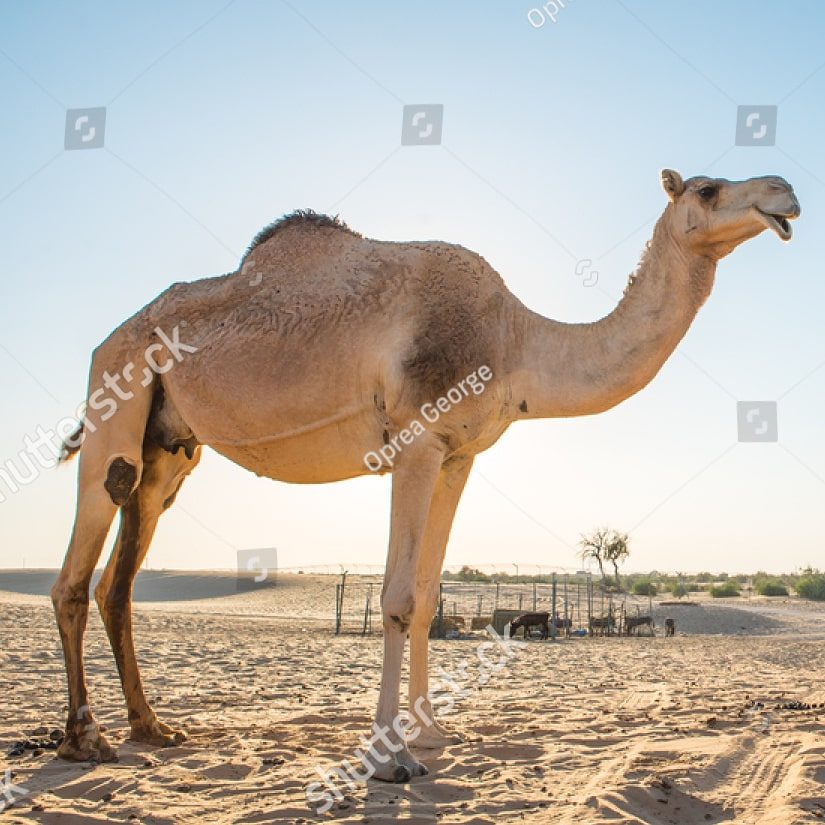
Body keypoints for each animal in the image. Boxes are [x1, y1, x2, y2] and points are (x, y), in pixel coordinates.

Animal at [51, 169, 799, 782]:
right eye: (707, 188)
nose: (784, 190)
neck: (513, 338)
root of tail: (112, 335)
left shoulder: (458, 453)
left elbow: (430, 590)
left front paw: (432, 732)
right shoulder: (414, 439)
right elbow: (398, 597)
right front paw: (389, 756)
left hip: (170, 446)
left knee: (120, 578)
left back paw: (153, 727)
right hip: (115, 396)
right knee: (77, 569)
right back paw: (86, 739)